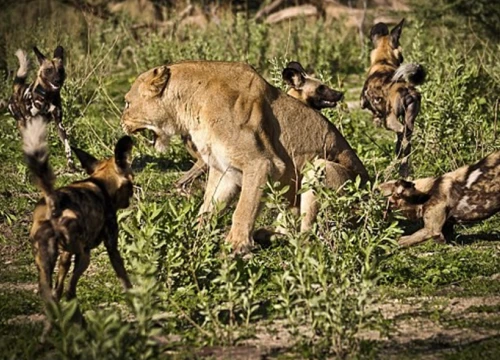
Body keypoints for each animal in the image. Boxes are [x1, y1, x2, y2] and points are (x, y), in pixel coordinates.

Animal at [23, 116, 134, 340]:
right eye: (131, 184)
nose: (132, 196)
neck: (100, 183)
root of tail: (53, 203)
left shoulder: (65, 256)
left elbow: (57, 291)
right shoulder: (112, 248)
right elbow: (126, 281)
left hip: (47, 263)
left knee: (53, 296)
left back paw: (50, 335)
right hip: (84, 256)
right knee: (70, 292)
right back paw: (82, 329)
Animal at [360, 19, 426, 178]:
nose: (402, 60)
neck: (383, 61)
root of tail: (407, 90)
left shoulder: (364, 102)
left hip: (390, 121)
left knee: (402, 135)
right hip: (409, 121)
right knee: (406, 143)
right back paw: (402, 169)